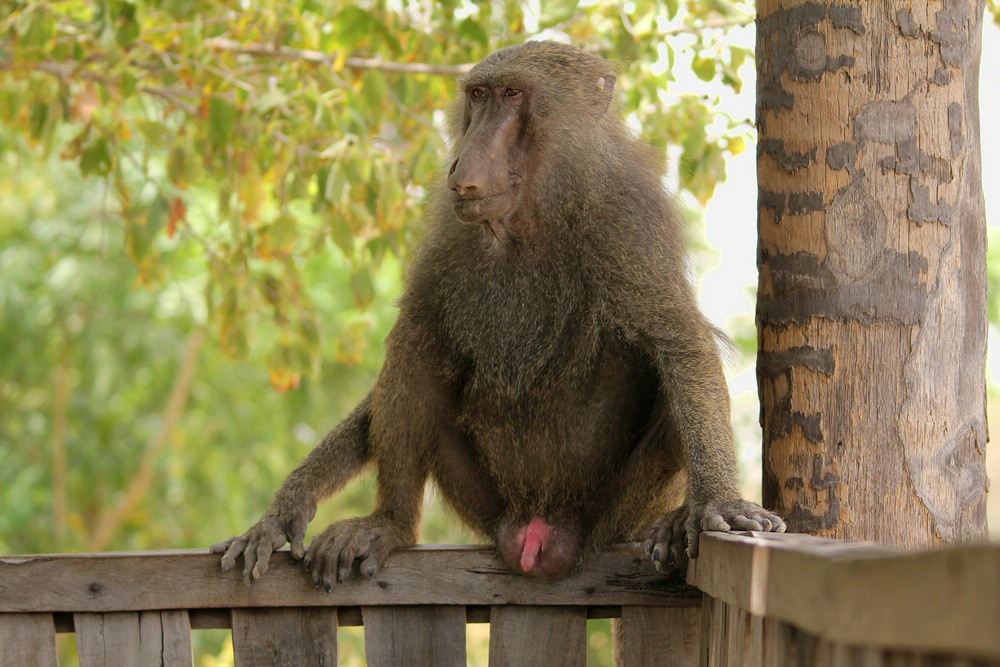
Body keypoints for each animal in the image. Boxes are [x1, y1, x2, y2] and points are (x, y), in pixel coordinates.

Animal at [211, 41, 785, 586]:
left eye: (513, 94)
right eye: (478, 96)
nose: (462, 167)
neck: (532, 210)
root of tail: (536, 532)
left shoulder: (626, 217)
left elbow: (680, 345)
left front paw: (718, 504)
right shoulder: (453, 230)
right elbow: (408, 352)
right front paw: (286, 508)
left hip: (607, 516)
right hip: (485, 503)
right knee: (415, 342)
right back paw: (389, 525)